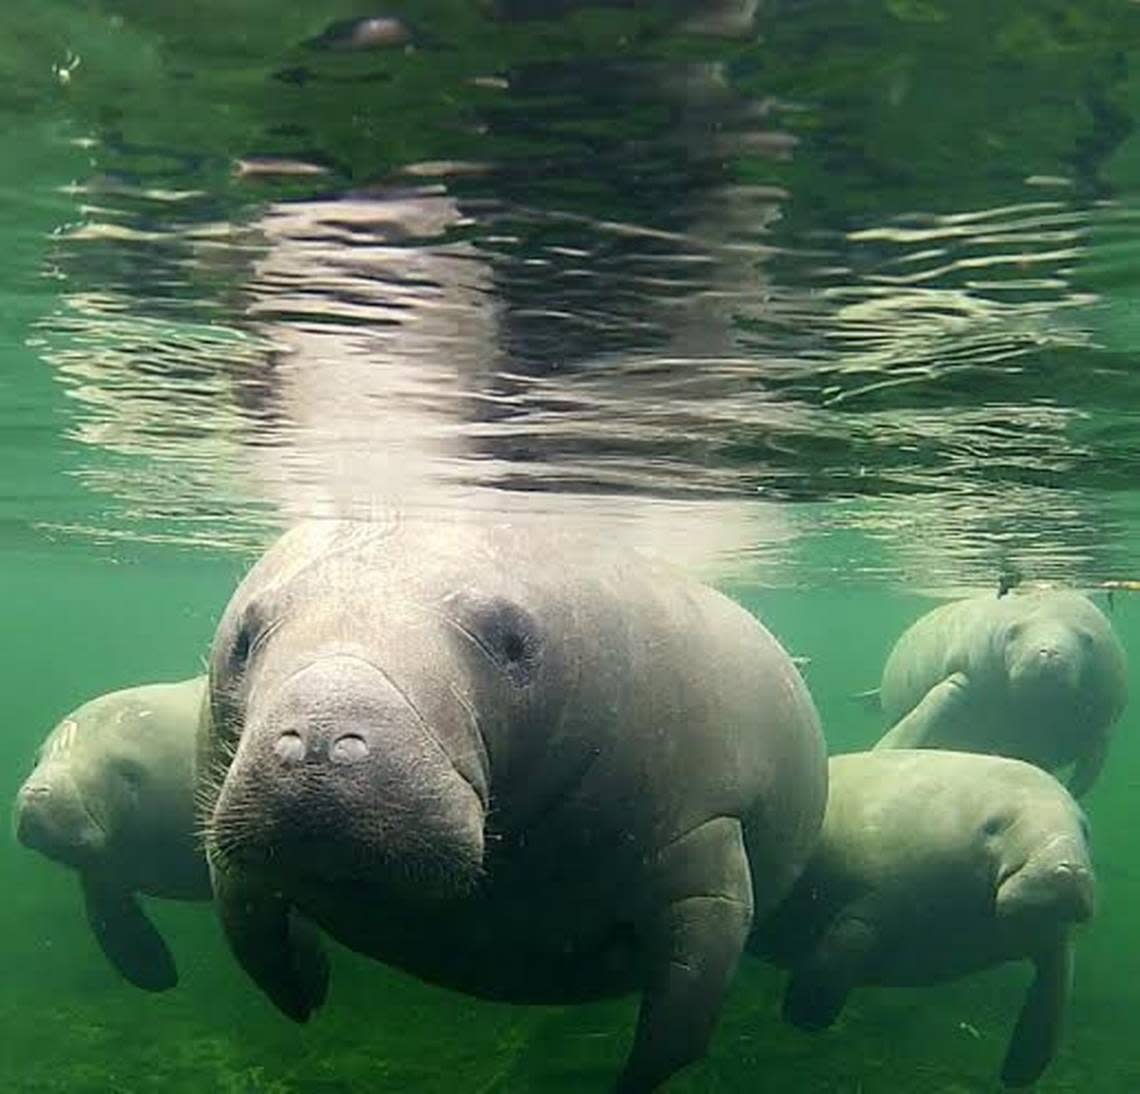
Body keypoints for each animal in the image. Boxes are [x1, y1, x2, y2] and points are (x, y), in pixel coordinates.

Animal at [13, 674, 209, 993]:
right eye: (37, 758)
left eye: (129, 773)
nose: (36, 793)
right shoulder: (103, 872)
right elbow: (114, 923)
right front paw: (156, 976)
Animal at [200, 517, 829, 1089]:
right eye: (243, 640)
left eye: (512, 644)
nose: (321, 737)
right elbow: (247, 917)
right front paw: (306, 993)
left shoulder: (705, 832)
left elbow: (684, 1006)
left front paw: (630, 1082)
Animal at [756, 752, 1094, 1084]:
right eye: (994, 826)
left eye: (1085, 829)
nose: (1069, 871)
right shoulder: (874, 903)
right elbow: (840, 949)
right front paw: (804, 1017)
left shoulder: (1056, 942)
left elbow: (1052, 999)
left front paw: (1019, 1073)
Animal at [866, 588, 1126, 793]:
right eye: (1013, 632)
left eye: (1087, 640)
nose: (1050, 652)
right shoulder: (961, 671)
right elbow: (928, 710)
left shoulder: (1105, 715)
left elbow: (1088, 771)